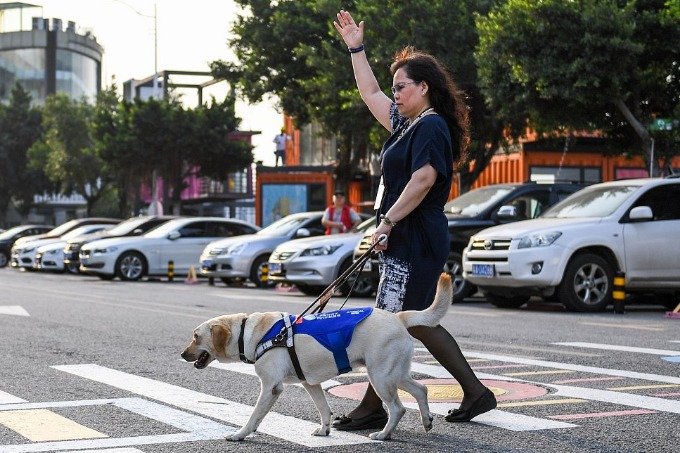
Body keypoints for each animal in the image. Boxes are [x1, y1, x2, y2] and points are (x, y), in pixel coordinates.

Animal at [181, 272, 452, 438]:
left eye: (195, 337)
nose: (182, 354)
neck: (248, 333)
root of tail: (398, 316)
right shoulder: (309, 383)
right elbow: (323, 408)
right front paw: (324, 430)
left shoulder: (271, 387)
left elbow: (254, 414)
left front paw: (240, 434)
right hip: (394, 373)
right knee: (421, 389)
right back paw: (426, 420)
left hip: (380, 376)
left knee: (398, 408)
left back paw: (384, 435)